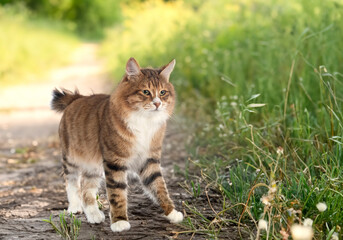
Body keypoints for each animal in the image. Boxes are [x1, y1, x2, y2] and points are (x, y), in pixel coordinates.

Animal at [50, 57, 183, 232]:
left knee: (86, 191)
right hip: (71, 159)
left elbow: (160, 187)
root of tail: (77, 98)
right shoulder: (115, 162)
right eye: (146, 92)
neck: (144, 122)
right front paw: (119, 221)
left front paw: (172, 212)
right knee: (71, 183)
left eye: (162, 92)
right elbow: (117, 194)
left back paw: (94, 215)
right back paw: (74, 208)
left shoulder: (149, 160)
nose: (157, 104)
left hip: (93, 167)